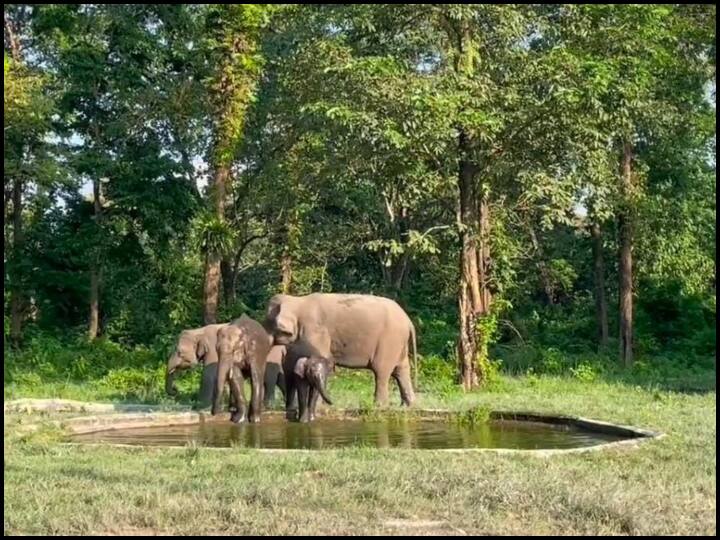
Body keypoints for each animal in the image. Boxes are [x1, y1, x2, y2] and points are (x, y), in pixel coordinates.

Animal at [264, 293, 417, 408]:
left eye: (267, 322)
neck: (297, 301)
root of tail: (409, 321)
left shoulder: (316, 331)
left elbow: (322, 358)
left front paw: (318, 405)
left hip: (389, 341)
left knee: (381, 371)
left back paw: (379, 406)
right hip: (399, 344)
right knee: (401, 369)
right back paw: (407, 406)